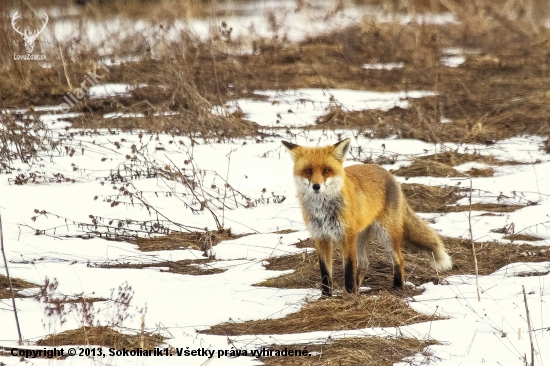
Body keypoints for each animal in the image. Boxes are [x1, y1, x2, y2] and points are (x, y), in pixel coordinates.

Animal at [284, 139, 452, 296]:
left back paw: (397, 287)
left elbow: (348, 271)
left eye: (326, 170)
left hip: (386, 234)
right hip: (360, 237)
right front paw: (326, 297)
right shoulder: (320, 237)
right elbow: (325, 274)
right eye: (308, 171)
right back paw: (359, 290)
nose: (316, 186)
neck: (322, 210)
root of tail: (388, 173)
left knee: (399, 259)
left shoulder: (346, 237)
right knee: (365, 263)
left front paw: (349, 297)